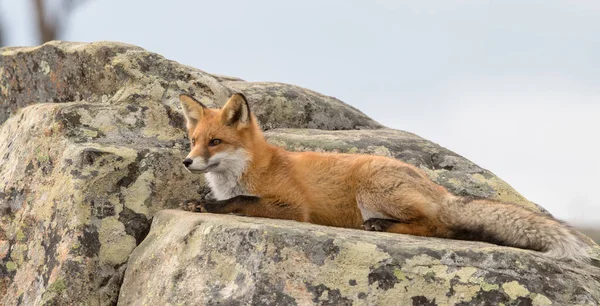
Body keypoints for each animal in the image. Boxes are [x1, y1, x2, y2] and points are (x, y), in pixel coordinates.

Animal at [177, 91, 592, 260]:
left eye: (215, 142)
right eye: (194, 141)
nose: (187, 162)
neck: (249, 167)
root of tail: (440, 189)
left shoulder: (292, 207)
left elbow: (238, 201)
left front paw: (208, 205)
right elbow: (230, 199)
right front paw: (201, 200)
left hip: (372, 189)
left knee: (439, 228)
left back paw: (382, 227)